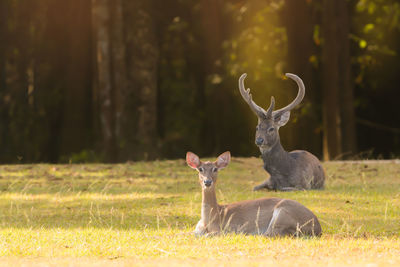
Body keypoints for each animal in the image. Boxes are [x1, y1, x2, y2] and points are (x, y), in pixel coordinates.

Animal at [187, 152, 322, 238]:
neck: (213, 217)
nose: (207, 181)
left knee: (270, 234)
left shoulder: (228, 227)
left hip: (283, 213)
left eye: (215, 169)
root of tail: (318, 228)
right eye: (200, 169)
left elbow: (210, 235)